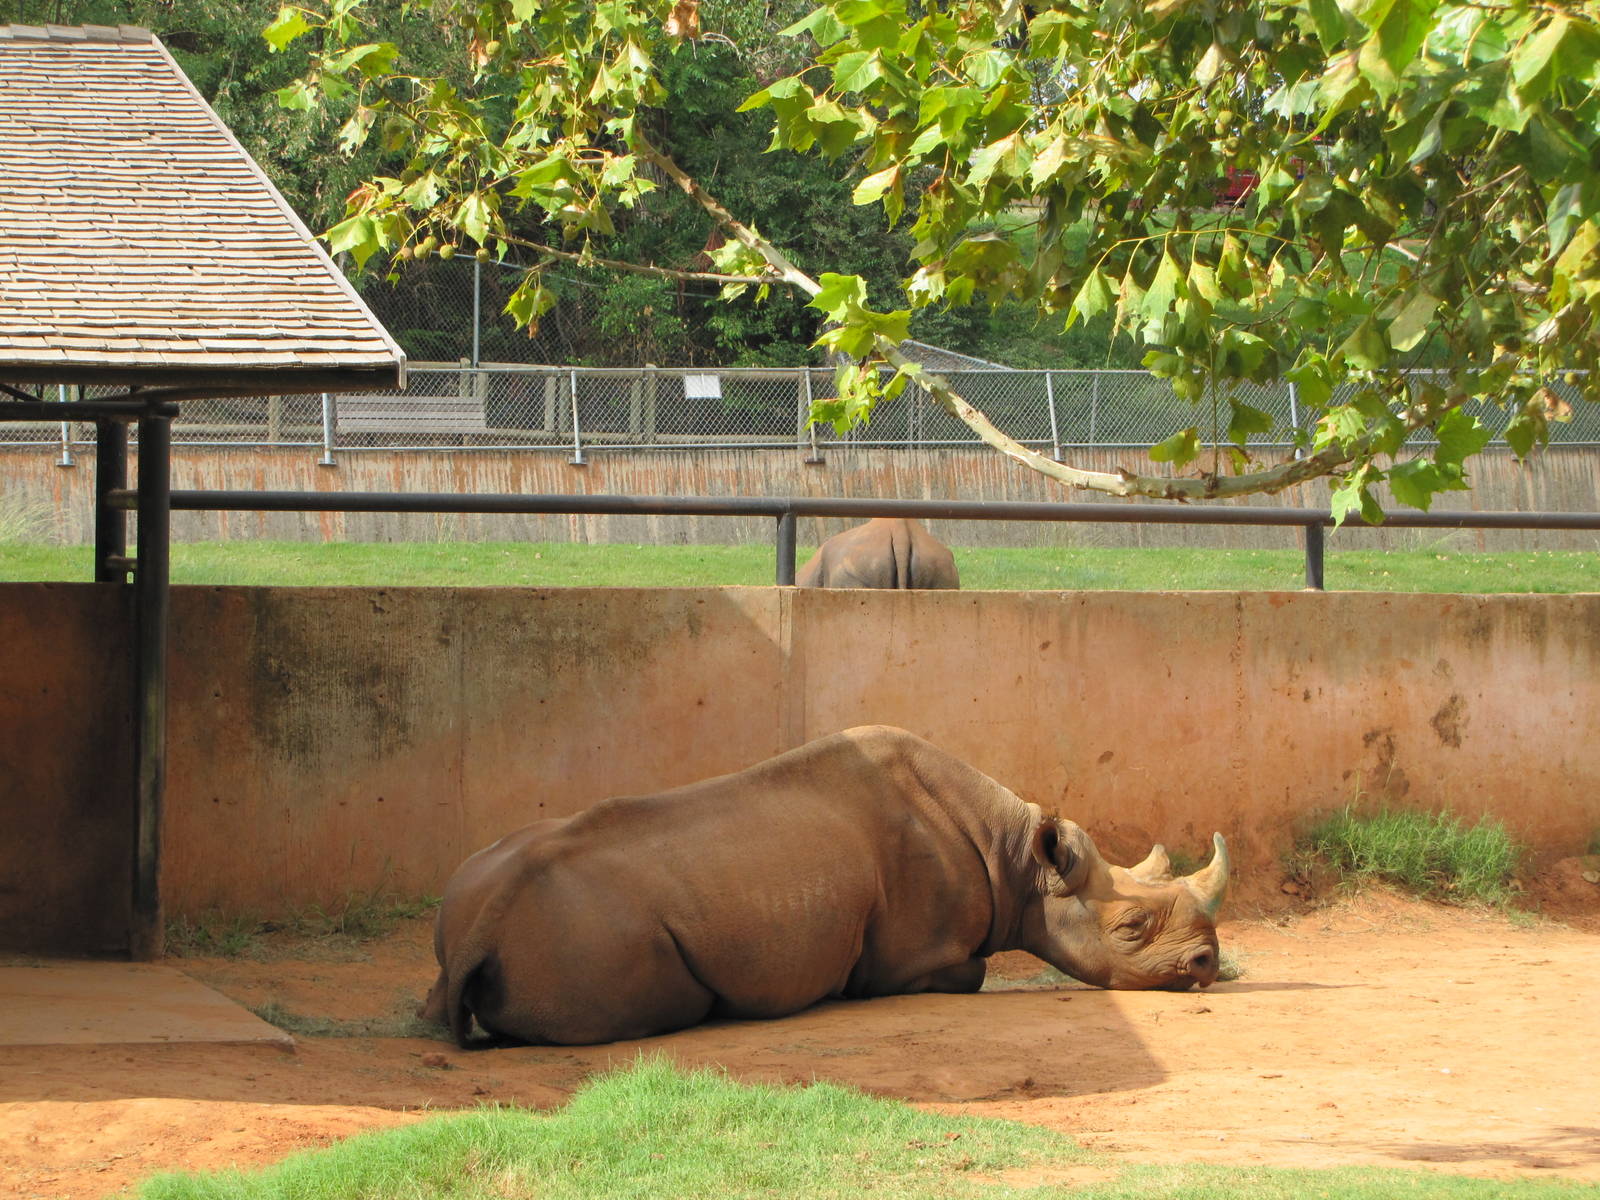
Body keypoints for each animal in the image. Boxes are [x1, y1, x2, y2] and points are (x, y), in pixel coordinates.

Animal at [421, 726, 1228, 1047]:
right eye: (1131, 929)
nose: (1207, 966)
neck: (1018, 856)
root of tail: (486, 924)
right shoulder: (913, 957)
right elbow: (965, 973)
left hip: (474, 893)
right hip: (594, 933)